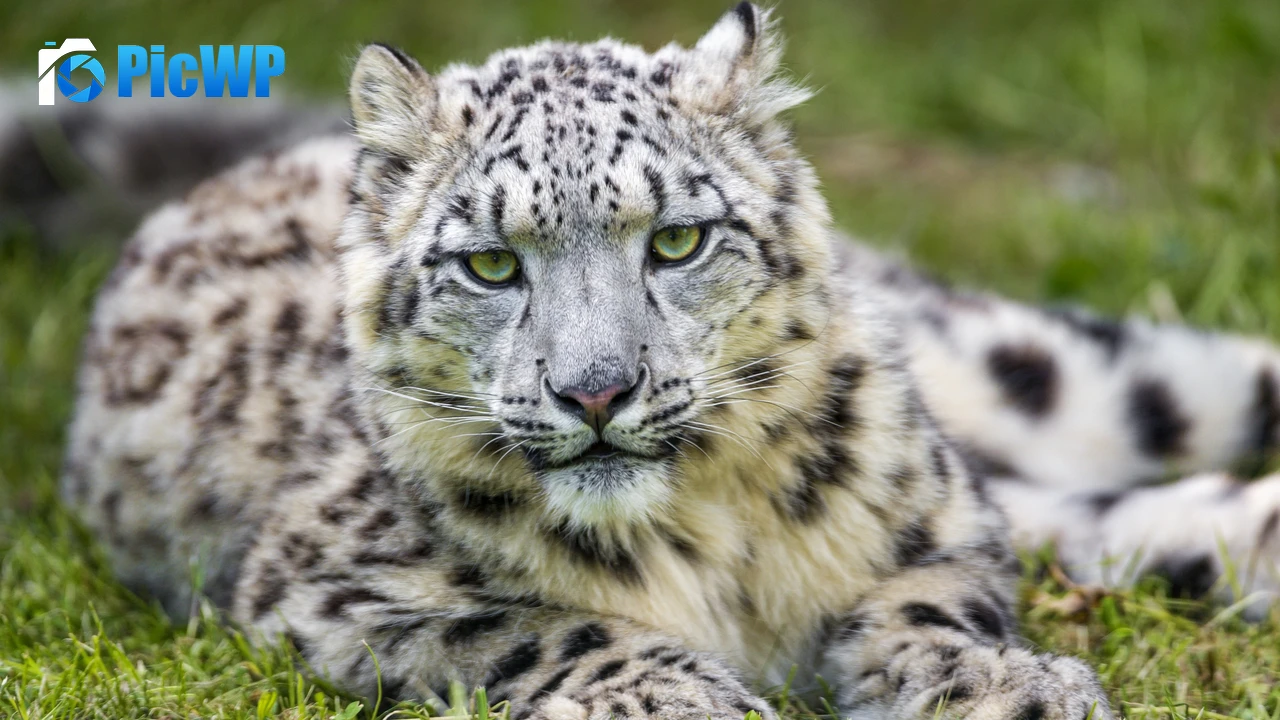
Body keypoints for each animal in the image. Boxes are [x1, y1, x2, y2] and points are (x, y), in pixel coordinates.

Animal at [61, 4, 1280, 719]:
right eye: (492, 263)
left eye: (678, 241)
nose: (596, 390)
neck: (708, 538)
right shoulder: (333, 586)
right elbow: (534, 624)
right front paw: (682, 697)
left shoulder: (936, 517)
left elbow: (929, 599)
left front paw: (1004, 688)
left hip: (1024, 367)